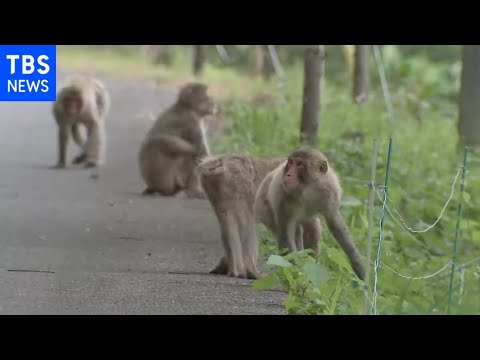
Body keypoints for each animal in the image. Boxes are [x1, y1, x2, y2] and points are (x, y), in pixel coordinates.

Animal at [256, 148, 366, 280]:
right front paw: (295, 272)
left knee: (312, 230)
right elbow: (285, 233)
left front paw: (360, 271)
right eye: (291, 162)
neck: (306, 187)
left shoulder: (330, 190)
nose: (288, 174)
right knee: (295, 231)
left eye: (299, 164)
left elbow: (335, 224)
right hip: (265, 211)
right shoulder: (281, 194)